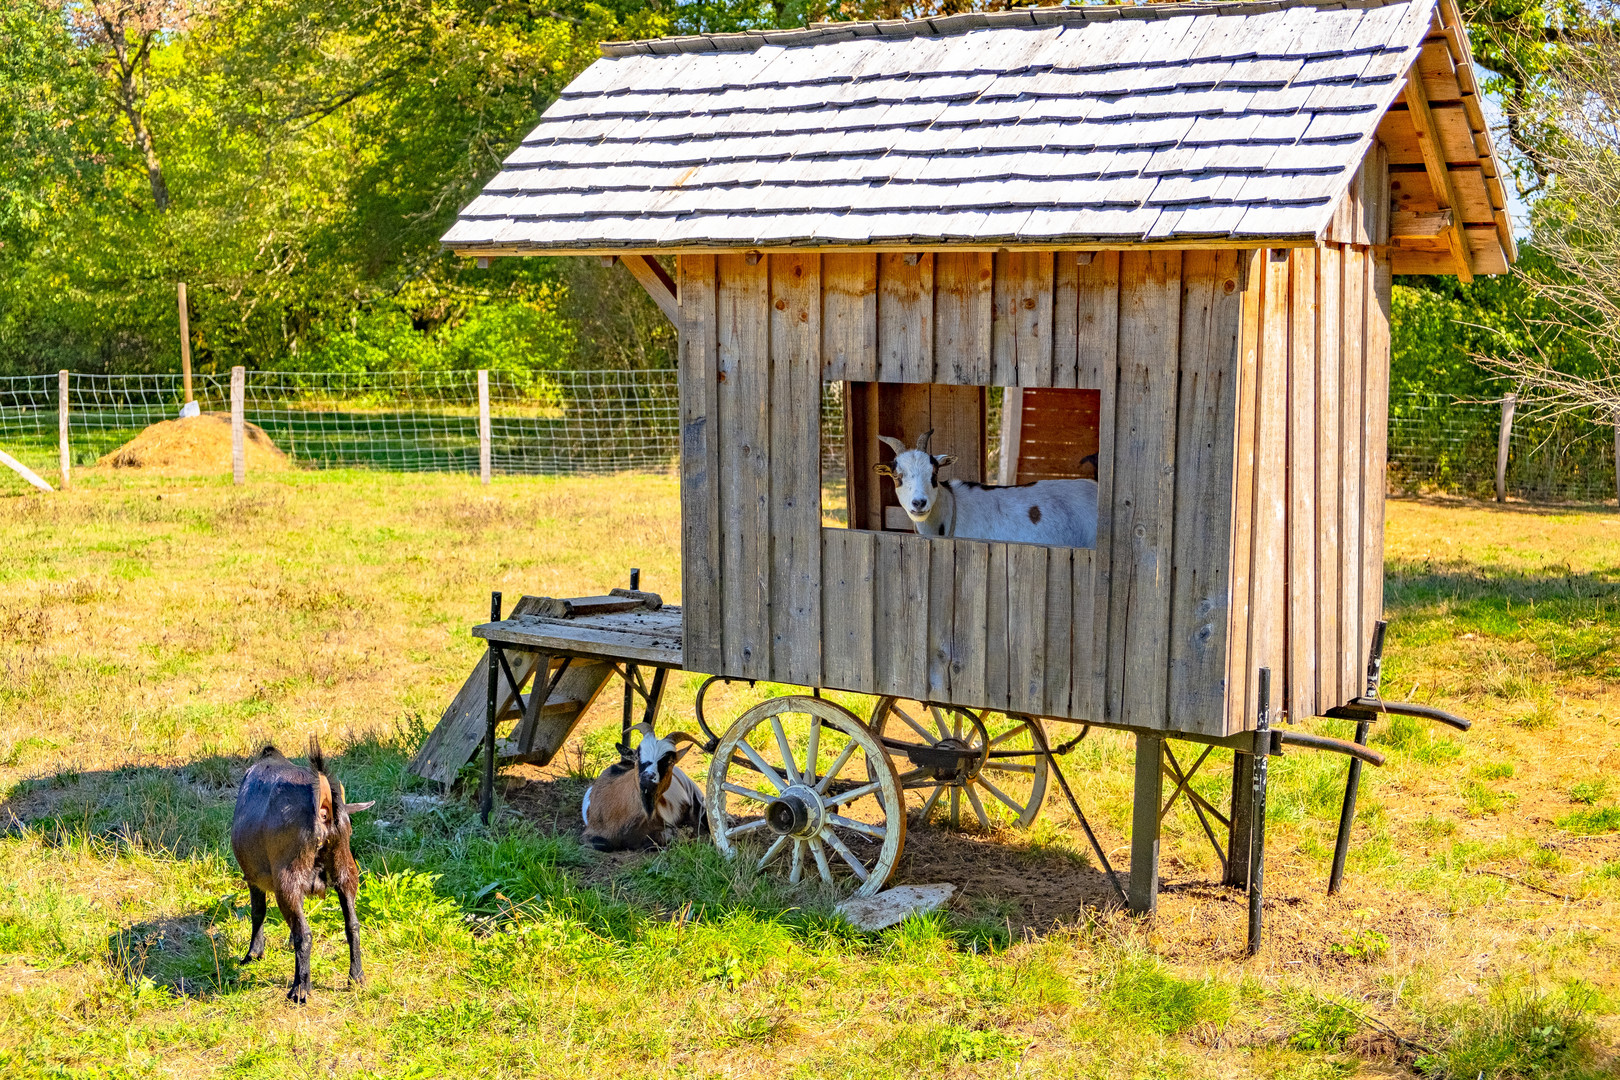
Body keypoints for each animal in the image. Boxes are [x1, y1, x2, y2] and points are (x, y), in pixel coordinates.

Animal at [228, 738, 372, 1003]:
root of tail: (325, 812)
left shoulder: (254, 878)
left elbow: (258, 912)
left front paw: (253, 955)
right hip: (346, 871)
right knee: (353, 925)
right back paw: (356, 977)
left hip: (287, 881)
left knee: (304, 934)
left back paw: (299, 989)